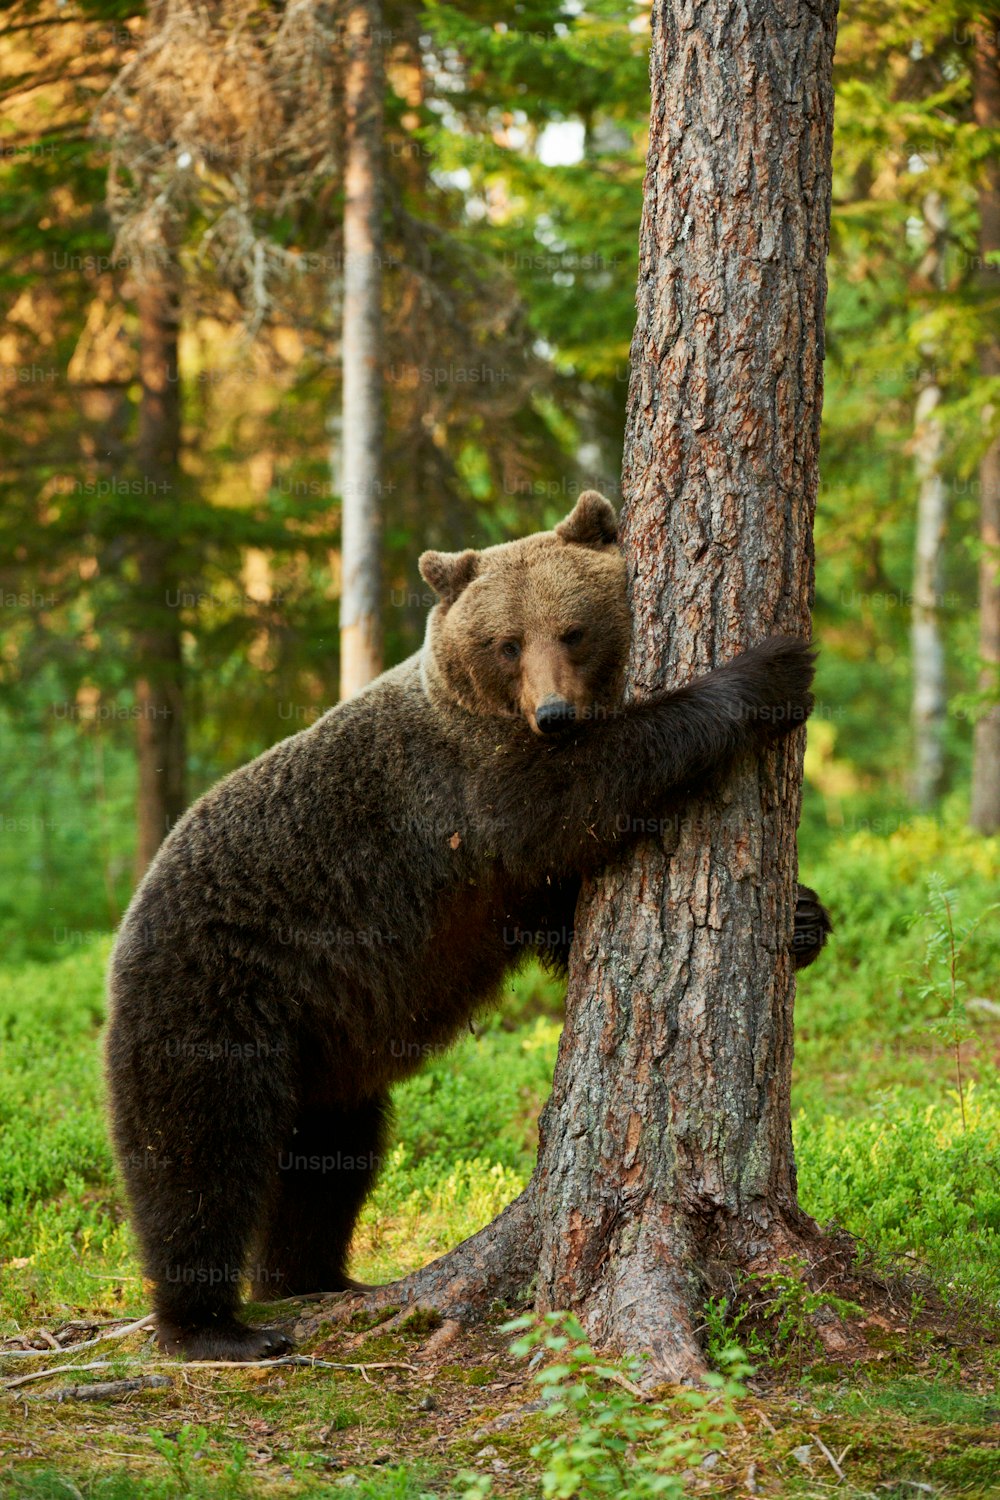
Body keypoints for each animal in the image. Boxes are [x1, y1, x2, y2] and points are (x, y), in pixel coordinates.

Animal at [105, 492, 833, 1362]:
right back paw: (215, 1326)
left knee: (331, 1155)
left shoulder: (504, 885)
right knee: (199, 1154)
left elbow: (568, 921)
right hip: (217, 992)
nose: (555, 714)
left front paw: (804, 916)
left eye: (573, 629)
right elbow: (582, 794)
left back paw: (316, 1279)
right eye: (505, 642)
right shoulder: (466, 795)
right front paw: (770, 670)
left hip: (324, 1042)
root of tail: (129, 921)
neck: (493, 712)